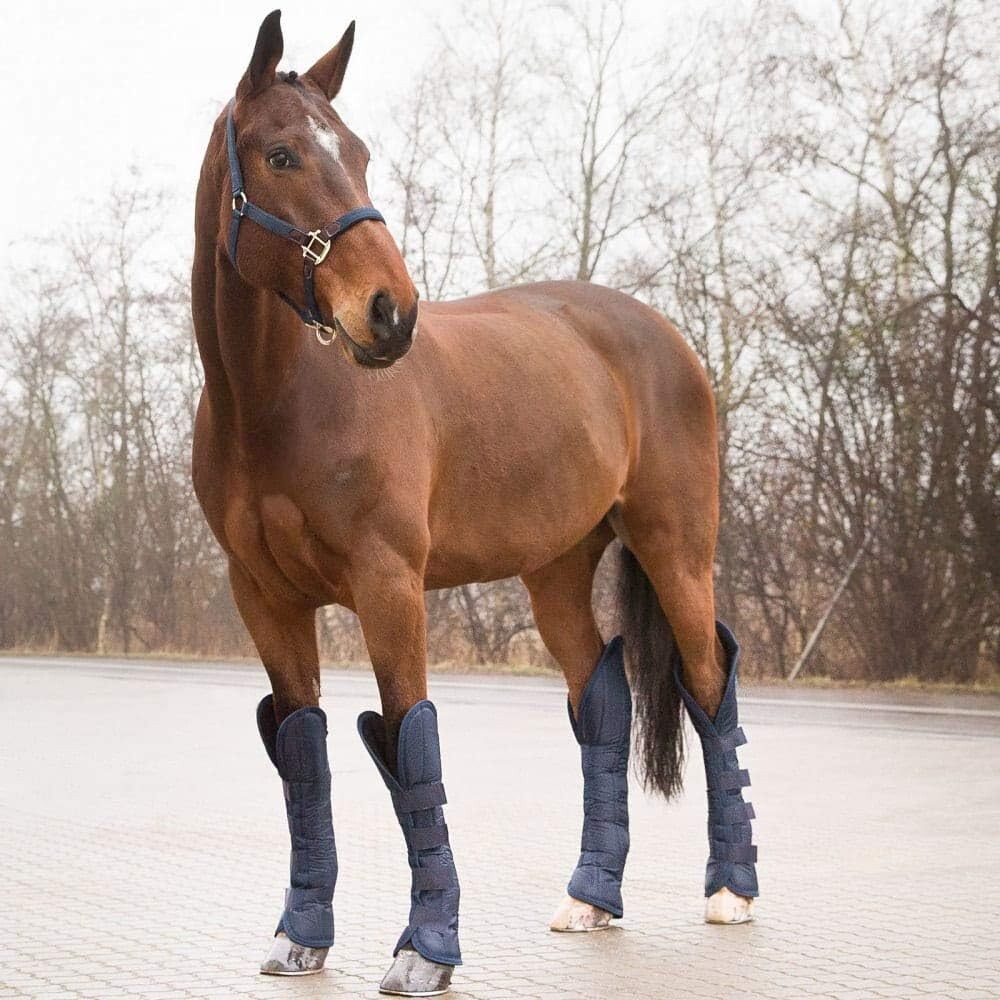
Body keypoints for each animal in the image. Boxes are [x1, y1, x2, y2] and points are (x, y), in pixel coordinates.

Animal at [191, 11, 758, 996]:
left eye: (360, 153)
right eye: (282, 155)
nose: (391, 314)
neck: (274, 404)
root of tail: (662, 336)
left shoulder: (389, 586)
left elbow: (408, 746)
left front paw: (426, 948)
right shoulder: (264, 596)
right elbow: (304, 754)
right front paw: (302, 937)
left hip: (676, 549)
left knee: (707, 682)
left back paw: (730, 890)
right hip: (558, 571)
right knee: (601, 702)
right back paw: (591, 899)